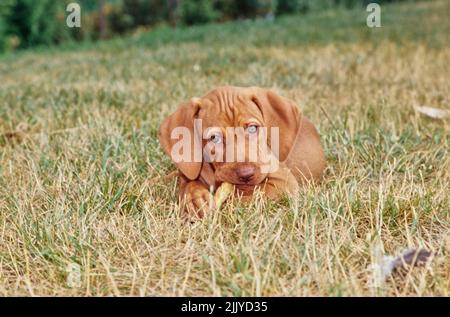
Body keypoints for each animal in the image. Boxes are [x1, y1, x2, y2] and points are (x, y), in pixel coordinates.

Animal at [160, 87, 326, 220]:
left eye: (252, 128)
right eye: (214, 138)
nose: (246, 174)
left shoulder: (283, 183)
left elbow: (248, 196)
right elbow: (188, 184)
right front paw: (195, 199)